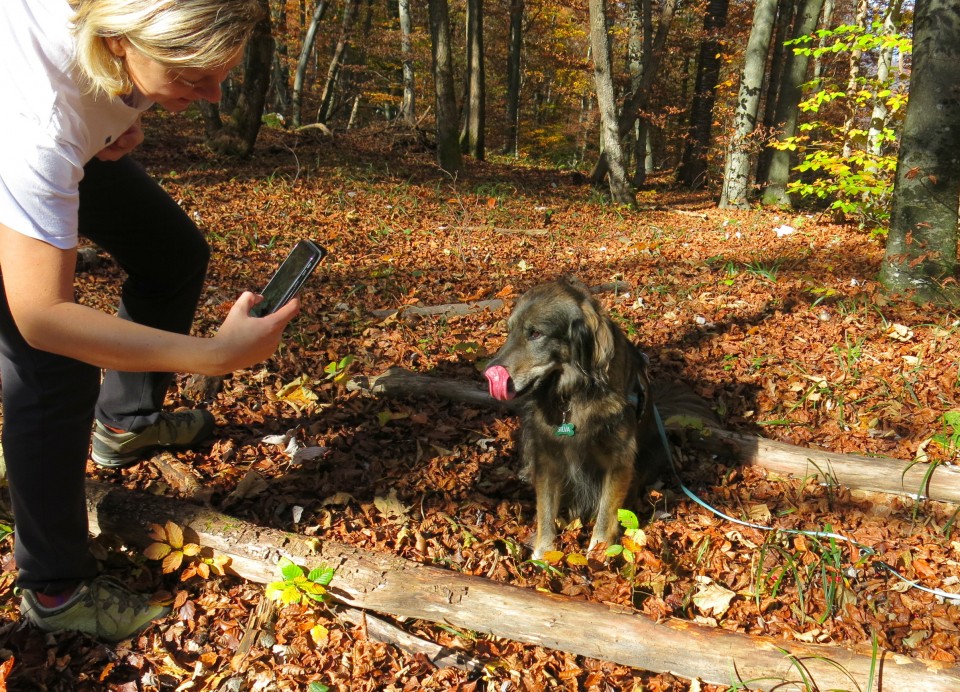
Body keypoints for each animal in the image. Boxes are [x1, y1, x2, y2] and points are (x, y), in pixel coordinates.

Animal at [484, 276, 708, 556]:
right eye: (510, 331)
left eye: (536, 334)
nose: (488, 373)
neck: (574, 395)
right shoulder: (548, 455)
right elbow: (545, 511)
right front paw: (543, 553)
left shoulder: (618, 460)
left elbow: (606, 512)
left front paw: (599, 552)